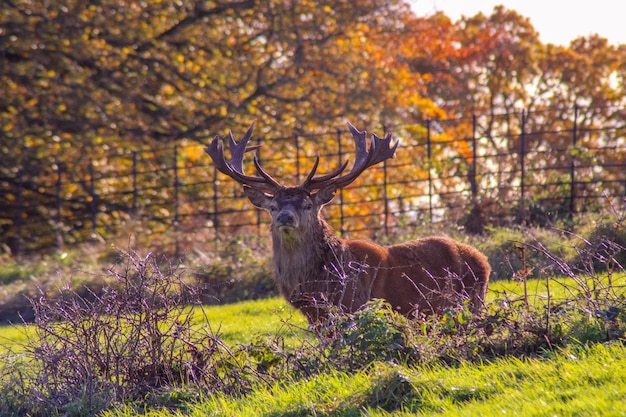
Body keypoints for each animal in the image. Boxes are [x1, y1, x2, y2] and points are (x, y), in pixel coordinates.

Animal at [205, 122, 488, 324]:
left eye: (308, 205)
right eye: (273, 207)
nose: (285, 217)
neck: (316, 286)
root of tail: (483, 260)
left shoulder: (354, 307)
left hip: (470, 303)